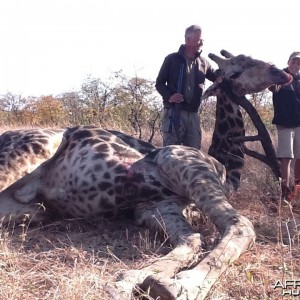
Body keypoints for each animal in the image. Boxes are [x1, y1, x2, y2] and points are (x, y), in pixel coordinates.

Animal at [0, 51, 292, 300]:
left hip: (33, 211)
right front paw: (179, 285)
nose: (283, 73)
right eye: (244, 62)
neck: (227, 169)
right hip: (30, 150)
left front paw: (132, 280)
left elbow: (190, 240)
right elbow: (237, 227)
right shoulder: (182, 161)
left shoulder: (158, 207)